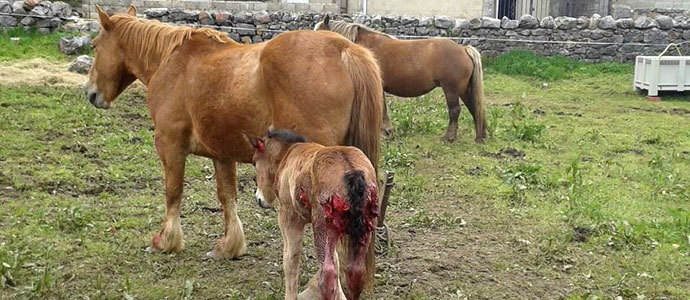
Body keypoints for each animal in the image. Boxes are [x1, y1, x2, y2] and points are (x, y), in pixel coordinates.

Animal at [84, 5, 382, 274]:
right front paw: (230, 247)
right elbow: (227, 196)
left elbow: (173, 191)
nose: (90, 93)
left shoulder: (170, 145)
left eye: (95, 45)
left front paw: (165, 241)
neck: (172, 63)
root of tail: (344, 49)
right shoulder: (222, 155)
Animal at [245, 131, 378, 300]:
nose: (259, 199)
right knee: (356, 271)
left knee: (327, 272)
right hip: (364, 228)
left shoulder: (289, 217)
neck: (287, 154)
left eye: (255, 162)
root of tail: (352, 171)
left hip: (323, 226)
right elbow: (336, 259)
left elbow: (291, 258)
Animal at [314, 16, 486, 143]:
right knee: (474, 107)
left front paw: (386, 132)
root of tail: (464, 49)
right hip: (463, 89)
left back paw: (449, 137)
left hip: (451, 89)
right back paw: (480, 136)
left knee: (455, 110)